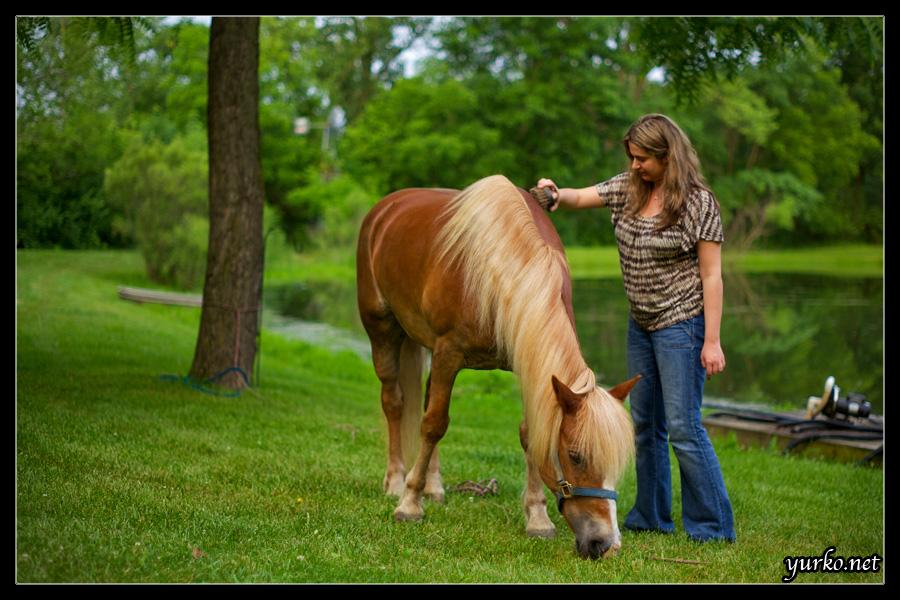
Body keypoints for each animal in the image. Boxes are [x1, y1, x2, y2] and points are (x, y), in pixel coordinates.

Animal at [356, 176, 636, 560]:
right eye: (575, 456)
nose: (605, 544)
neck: (500, 266)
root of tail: (384, 209)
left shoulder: (526, 362)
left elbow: (529, 434)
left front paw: (537, 519)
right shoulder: (448, 352)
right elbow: (433, 424)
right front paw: (409, 504)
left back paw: (434, 486)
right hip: (382, 330)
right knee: (395, 403)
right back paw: (397, 480)